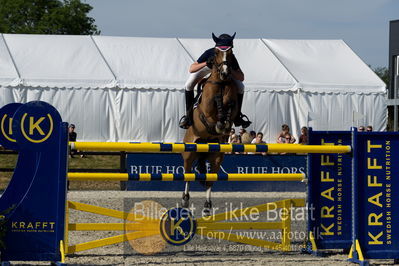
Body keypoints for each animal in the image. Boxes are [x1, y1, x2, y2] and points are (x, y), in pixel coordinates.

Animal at [182, 43, 241, 215]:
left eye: (231, 53)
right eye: (215, 53)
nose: (225, 73)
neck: (221, 84)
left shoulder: (232, 105)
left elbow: (230, 109)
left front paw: (224, 124)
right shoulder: (207, 112)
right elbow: (214, 110)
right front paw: (220, 123)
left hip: (216, 155)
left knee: (210, 180)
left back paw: (207, 207)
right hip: (188, 153)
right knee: (188, 175)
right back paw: (185, 200)